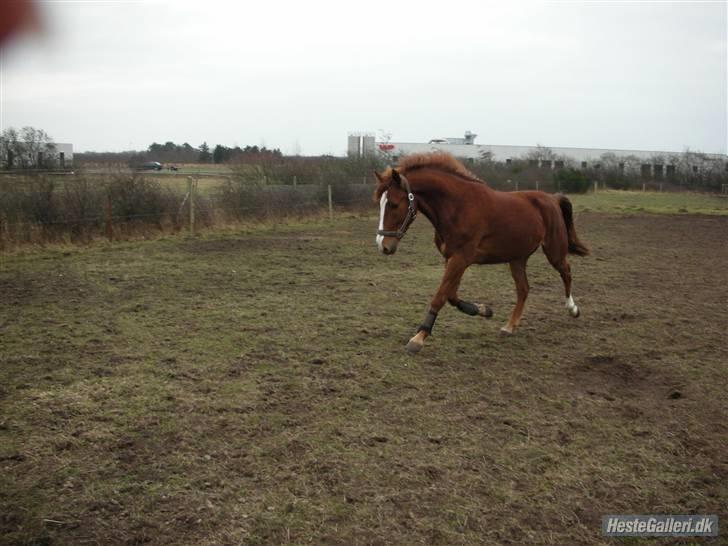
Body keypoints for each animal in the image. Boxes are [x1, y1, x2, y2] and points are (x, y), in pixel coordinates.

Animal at [372, 152, 588, 352]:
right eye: (380, 204)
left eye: (393, 204)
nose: (383, 245)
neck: (457, 206)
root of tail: (551, 198)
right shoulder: (451, 258)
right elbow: (451, 295)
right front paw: (484, 310)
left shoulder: (460, 259)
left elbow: (440, 296)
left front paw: (418, 338)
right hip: (517, 258)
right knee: (524, 289)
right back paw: (509, 327)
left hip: (554, 251)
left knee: (566, 272)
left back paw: (573, 309)